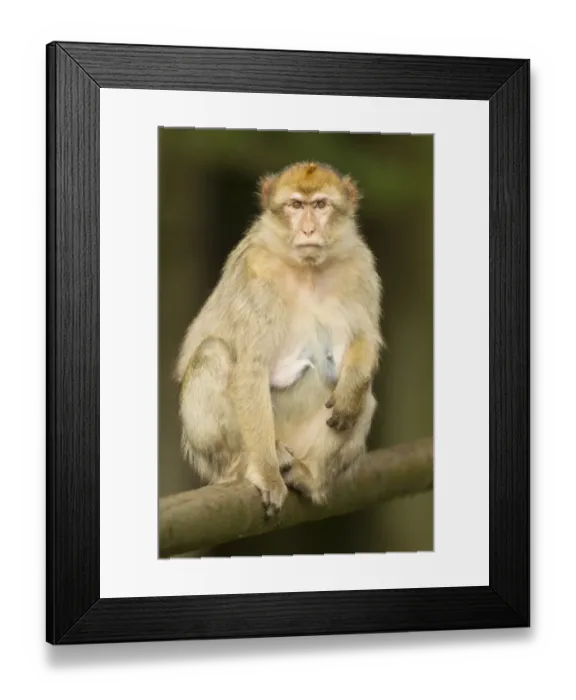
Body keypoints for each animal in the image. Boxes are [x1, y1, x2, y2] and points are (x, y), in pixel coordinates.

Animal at [175, 161, 383, 518]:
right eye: (296, 205)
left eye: (321, 205)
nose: (309, 230)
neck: (308, 270)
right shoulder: (257, 272)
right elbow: (250, 368)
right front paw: (266, 475)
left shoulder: (359, 265)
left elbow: (365, 338)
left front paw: (351, 387)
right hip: (213, 456)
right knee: (214, 353)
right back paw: (253, 462)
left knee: (363, 399)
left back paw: (309, 475)